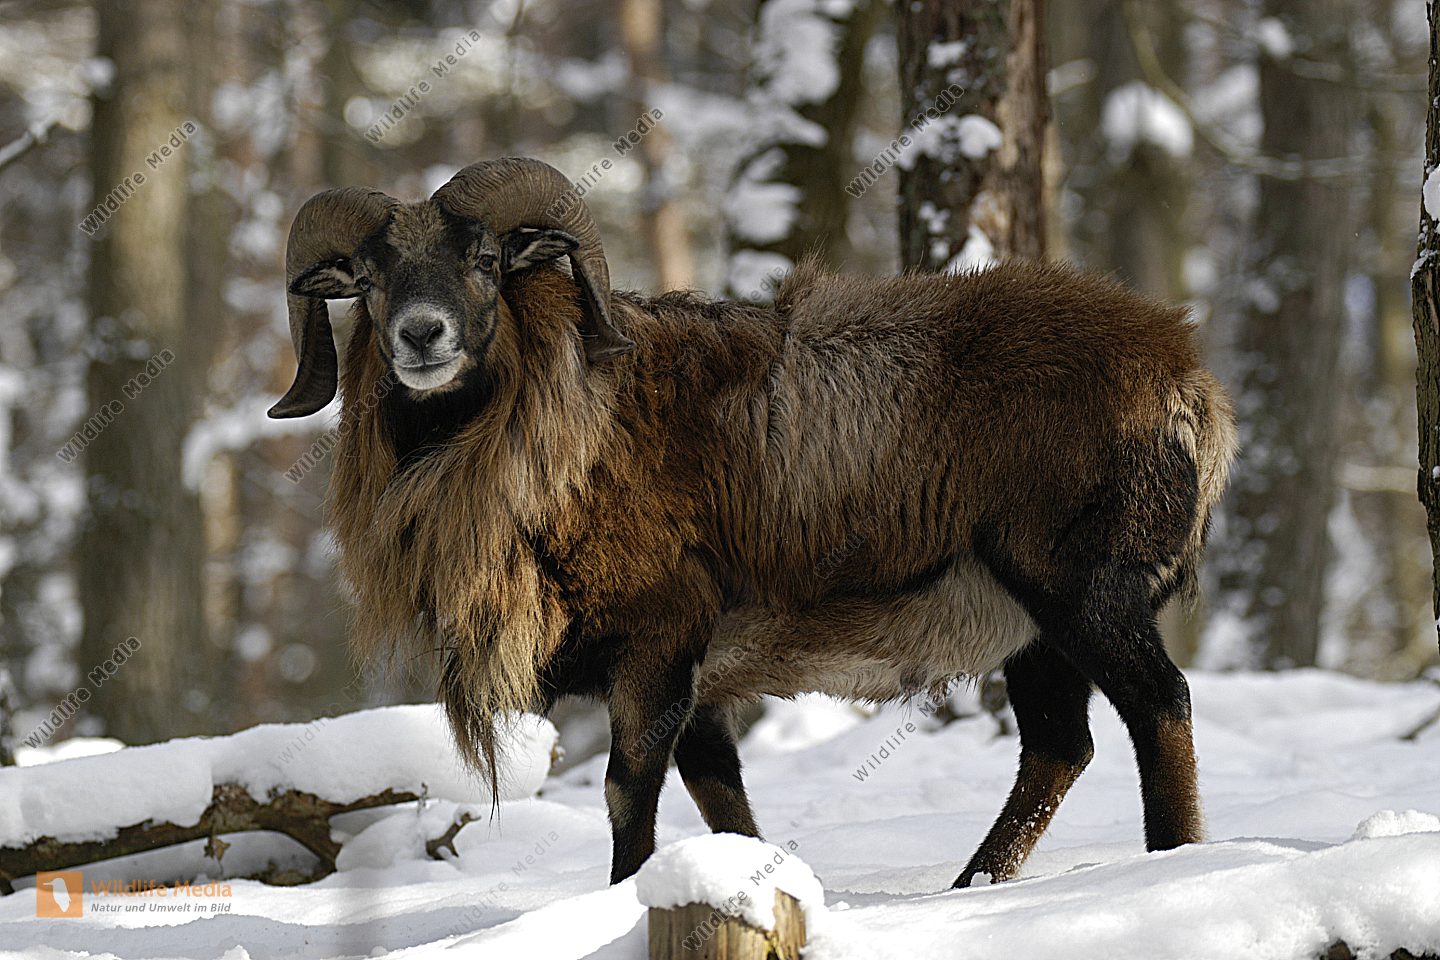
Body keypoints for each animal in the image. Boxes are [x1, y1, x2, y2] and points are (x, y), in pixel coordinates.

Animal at [270, 157, 1237, 887]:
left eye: (483, 259)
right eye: (368, 279)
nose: (420, 335)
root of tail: (1185, 378)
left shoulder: (659, 642)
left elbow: (628, 790)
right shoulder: (702, 684)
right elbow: (722, 801)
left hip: (1079, 591)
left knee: (1161, 703)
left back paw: (1175, 861)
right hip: (1032, 630)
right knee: (1058, 748)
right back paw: (974, 886)